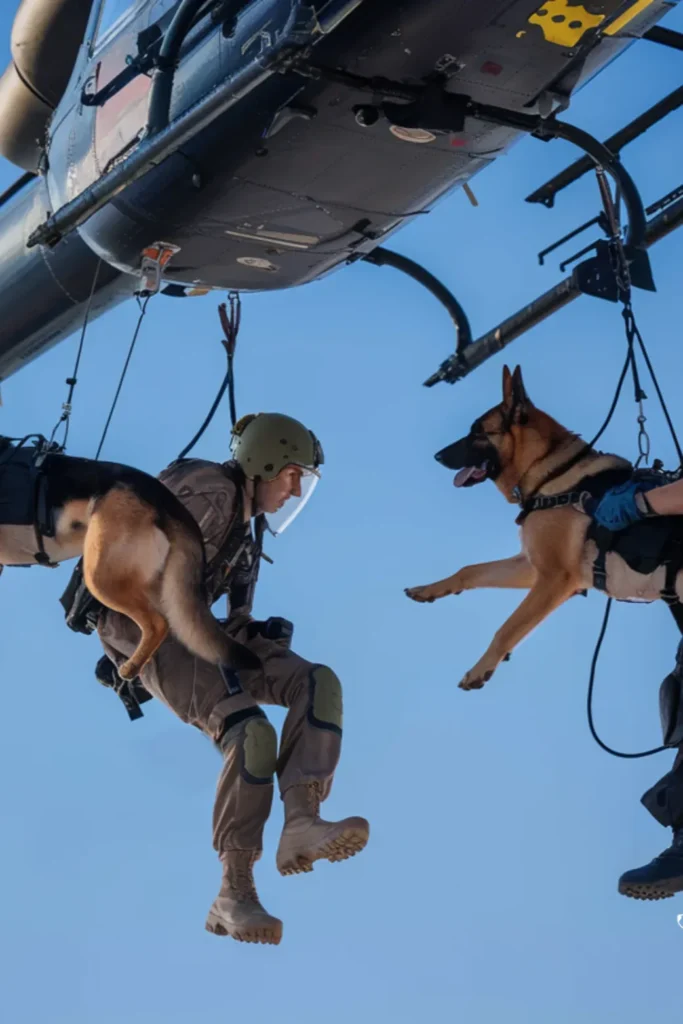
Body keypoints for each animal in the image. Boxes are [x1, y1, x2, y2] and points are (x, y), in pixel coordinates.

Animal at [405, 364, 679, 692]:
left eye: (478, 433)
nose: (437, 456)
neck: (550, 472)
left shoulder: (554, 579)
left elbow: (507, 627)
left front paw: (481, 668)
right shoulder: (533, 568)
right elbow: (470, 570)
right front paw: (428, 589)